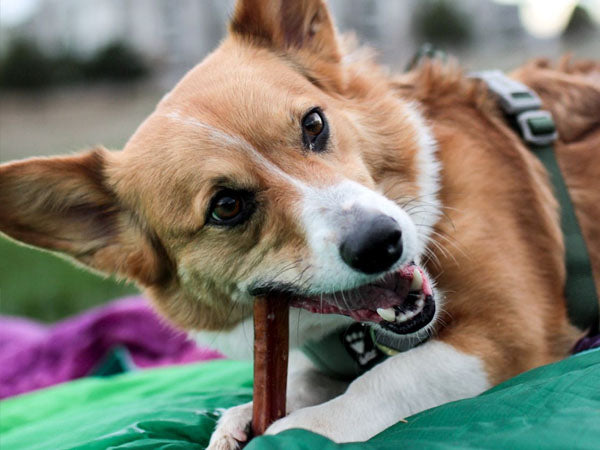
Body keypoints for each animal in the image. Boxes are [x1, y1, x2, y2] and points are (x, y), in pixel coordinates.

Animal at [1, 0, 600, 448]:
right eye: (226, 206)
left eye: (313, 124)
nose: (382, 243)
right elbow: (299, 378)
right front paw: (241, 417)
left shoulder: (509, 331)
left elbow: (386, 380)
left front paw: (293, 431)